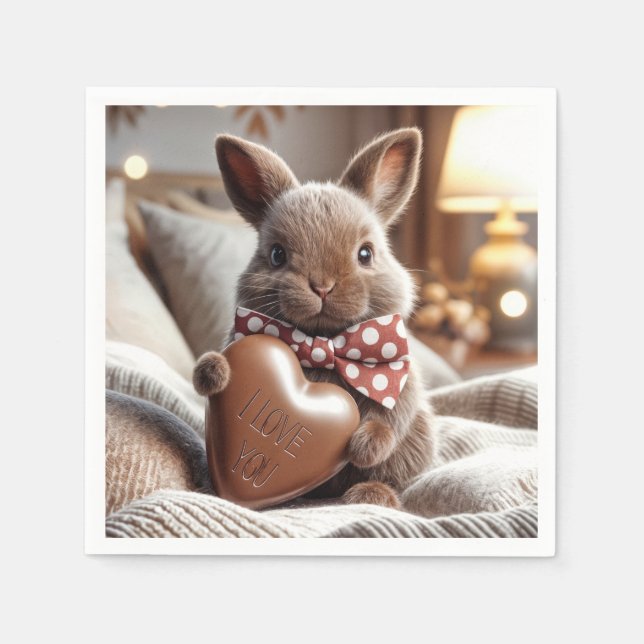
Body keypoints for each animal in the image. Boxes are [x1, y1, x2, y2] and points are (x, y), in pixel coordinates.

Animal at [193, 127, 436, 509]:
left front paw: (364, 447)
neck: (322, 341)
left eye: (366, 254)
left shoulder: (398, 377)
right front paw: (212, 371)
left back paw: (371, 496)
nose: (322, 286)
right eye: (277, 255)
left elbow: (391, 417)